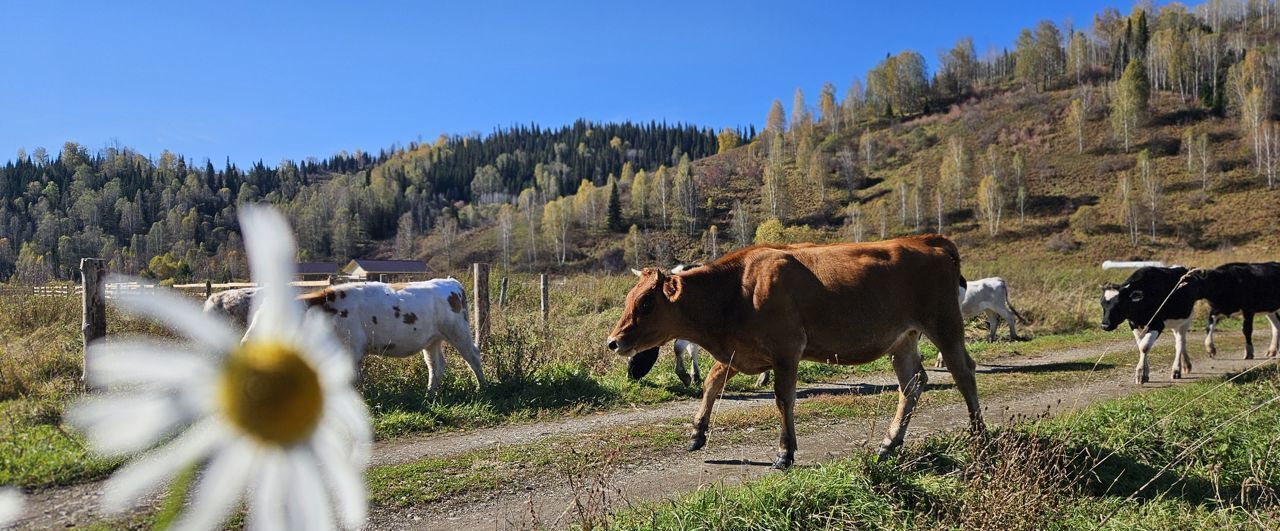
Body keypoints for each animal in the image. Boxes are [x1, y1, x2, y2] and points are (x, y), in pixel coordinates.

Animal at [247, 280, 486, 394]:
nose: (246, 341)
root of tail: (450, 282)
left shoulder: (351, 351)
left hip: (458, 331)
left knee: (473, 356)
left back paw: (482, 388)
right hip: (432, 340)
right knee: (436, 366)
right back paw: (430, 394)